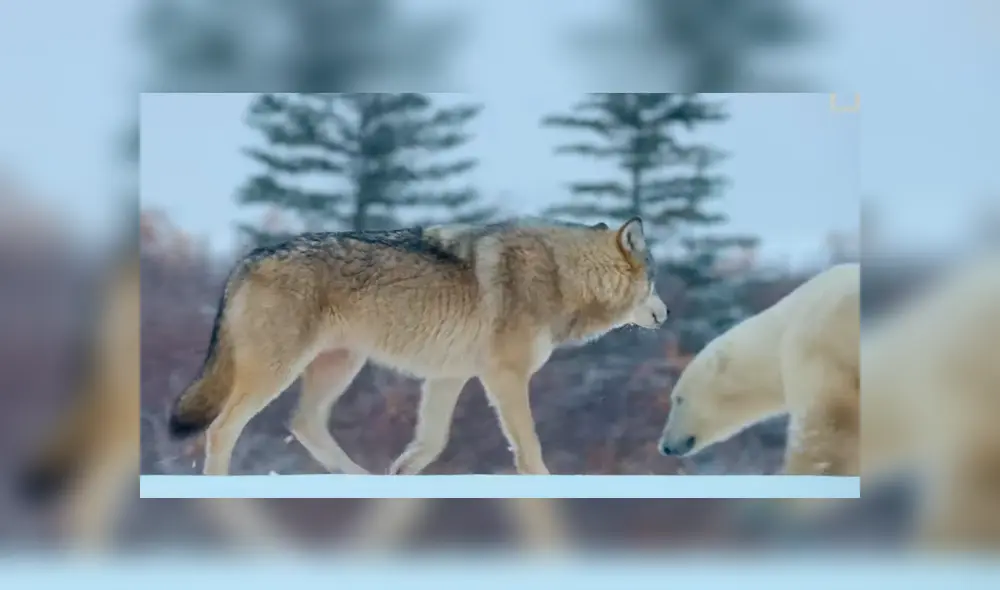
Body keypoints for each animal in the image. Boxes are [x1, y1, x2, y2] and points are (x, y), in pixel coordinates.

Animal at [167, 216, 667, 476]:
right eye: (653, 282)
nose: (666, 313)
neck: (563, 275)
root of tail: (247, 260)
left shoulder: (450, 376)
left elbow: (431, 443)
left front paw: (399, 476)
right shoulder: (504, 376)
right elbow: (529, 448)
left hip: (339, 365)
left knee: (304, 423)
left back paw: (362, 481)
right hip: (279, 371)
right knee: (222, 429)